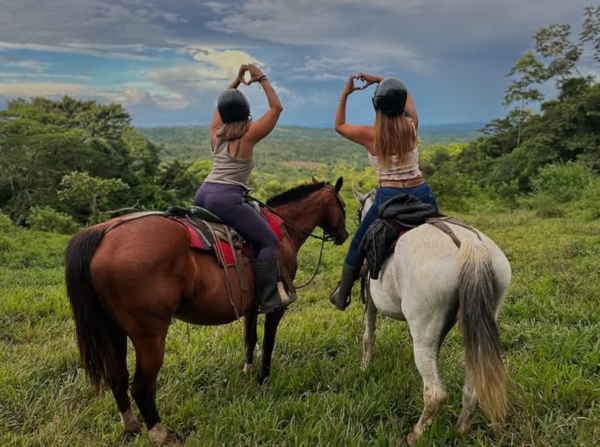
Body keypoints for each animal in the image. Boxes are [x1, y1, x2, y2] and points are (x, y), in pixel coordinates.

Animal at [64, 178, 346, 444]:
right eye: (343, 206)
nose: (344, 235)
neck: (283, 228)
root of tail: (103, 234)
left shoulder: (251, 305)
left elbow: (250, 338)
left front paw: (247, 371)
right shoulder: (276, 306)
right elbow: (268, 343)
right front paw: (263, 379)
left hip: (112, 329)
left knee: (117, 377)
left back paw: (131, 427)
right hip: (149, 335)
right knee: (142, 388)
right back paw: (160, 434)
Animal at [354, 187, 512, 446]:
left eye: (359, 213)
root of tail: (469, 245)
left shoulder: (370, 300)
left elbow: (368, 335)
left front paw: (365, 367)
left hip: (425, 336)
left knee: (435, 392)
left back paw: (415, 434)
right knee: (472, 388)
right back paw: (460, 431)